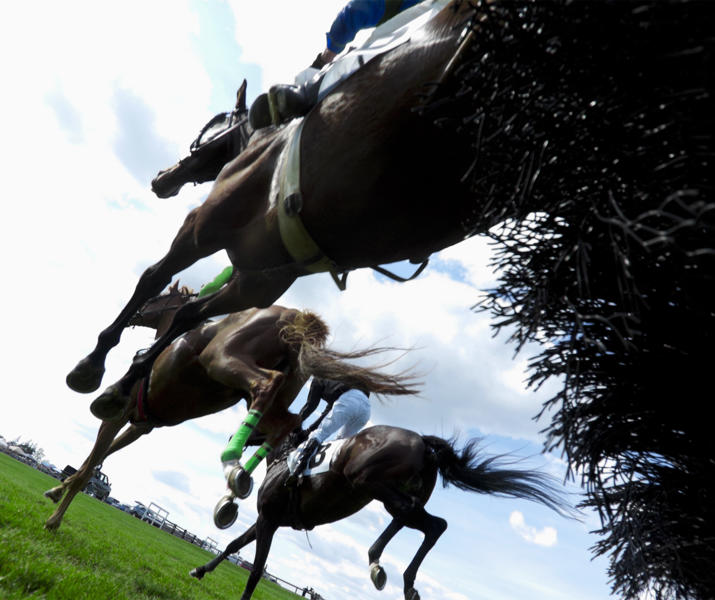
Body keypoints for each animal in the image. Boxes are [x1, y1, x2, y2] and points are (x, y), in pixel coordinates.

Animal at [44, 286, 416, 528]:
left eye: (156, 298)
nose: (136, 310)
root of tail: (296, 317)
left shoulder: (121, 414)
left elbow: (92, 462)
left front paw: (55, 517)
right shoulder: (140, 425)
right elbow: (98, 458)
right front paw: (57, 488)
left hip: (222, 360)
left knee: (268, 387)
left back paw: (232, 462)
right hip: (272, 397)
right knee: (286, 422)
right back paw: (235, 482)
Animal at [65, 0, 482, 414]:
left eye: (210, 126)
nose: (162, 178)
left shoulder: (201, 227)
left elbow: (154, 277)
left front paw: (93, 364)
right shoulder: (256, 281)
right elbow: (187, 314)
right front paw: (125, 380)